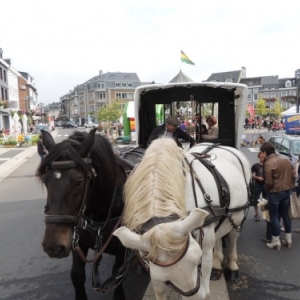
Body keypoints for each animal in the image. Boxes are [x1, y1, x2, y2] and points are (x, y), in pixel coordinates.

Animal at [36, 129, 142, 300]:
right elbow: (77, 276)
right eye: (45, 180)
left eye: (79, 181)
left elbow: (118, 276)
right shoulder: (78, 243)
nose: (53, 246)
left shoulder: (122, 251)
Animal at [113, 137, 250, 298]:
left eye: (198, 261)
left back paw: (232, 267)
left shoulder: (204, 249)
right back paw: (217, 265)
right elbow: (159, 291)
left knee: (233, 236)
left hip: (238, 216)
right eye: (166, 279)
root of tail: (217, 144)